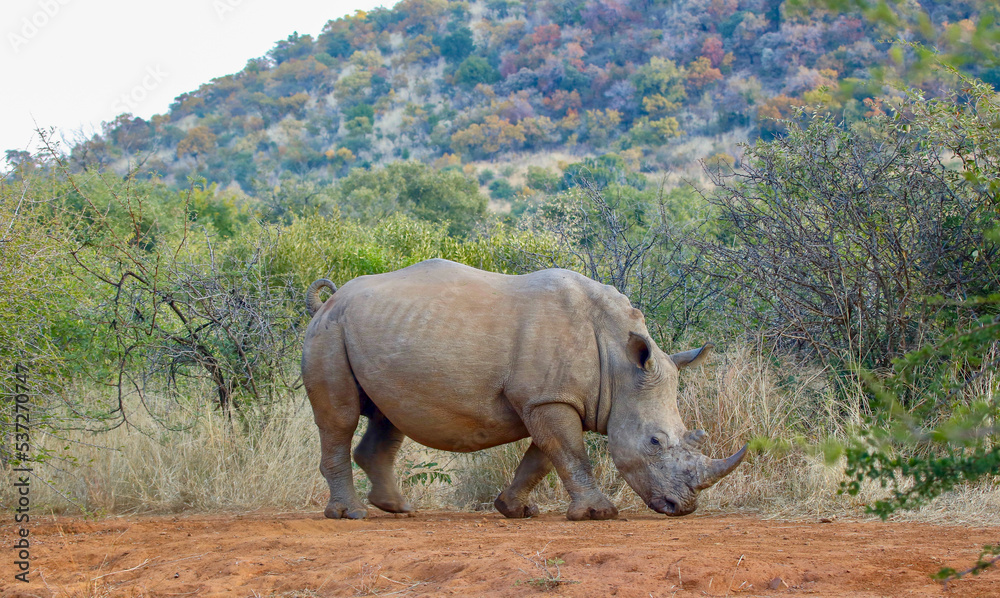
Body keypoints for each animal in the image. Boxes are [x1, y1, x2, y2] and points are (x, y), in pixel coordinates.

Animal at [302, 259, 746, 521]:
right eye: (654, 442)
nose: (682, 507)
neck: (620, 362)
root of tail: (328, 301)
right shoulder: (549, 398)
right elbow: (569, 452)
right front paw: (599, 514)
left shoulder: (551, 398)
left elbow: (545, 457)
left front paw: (513, 509)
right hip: (329, 333)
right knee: (340, 419)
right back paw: (351, 515)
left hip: (374, 331)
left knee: (389, 415)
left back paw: (398, 508)